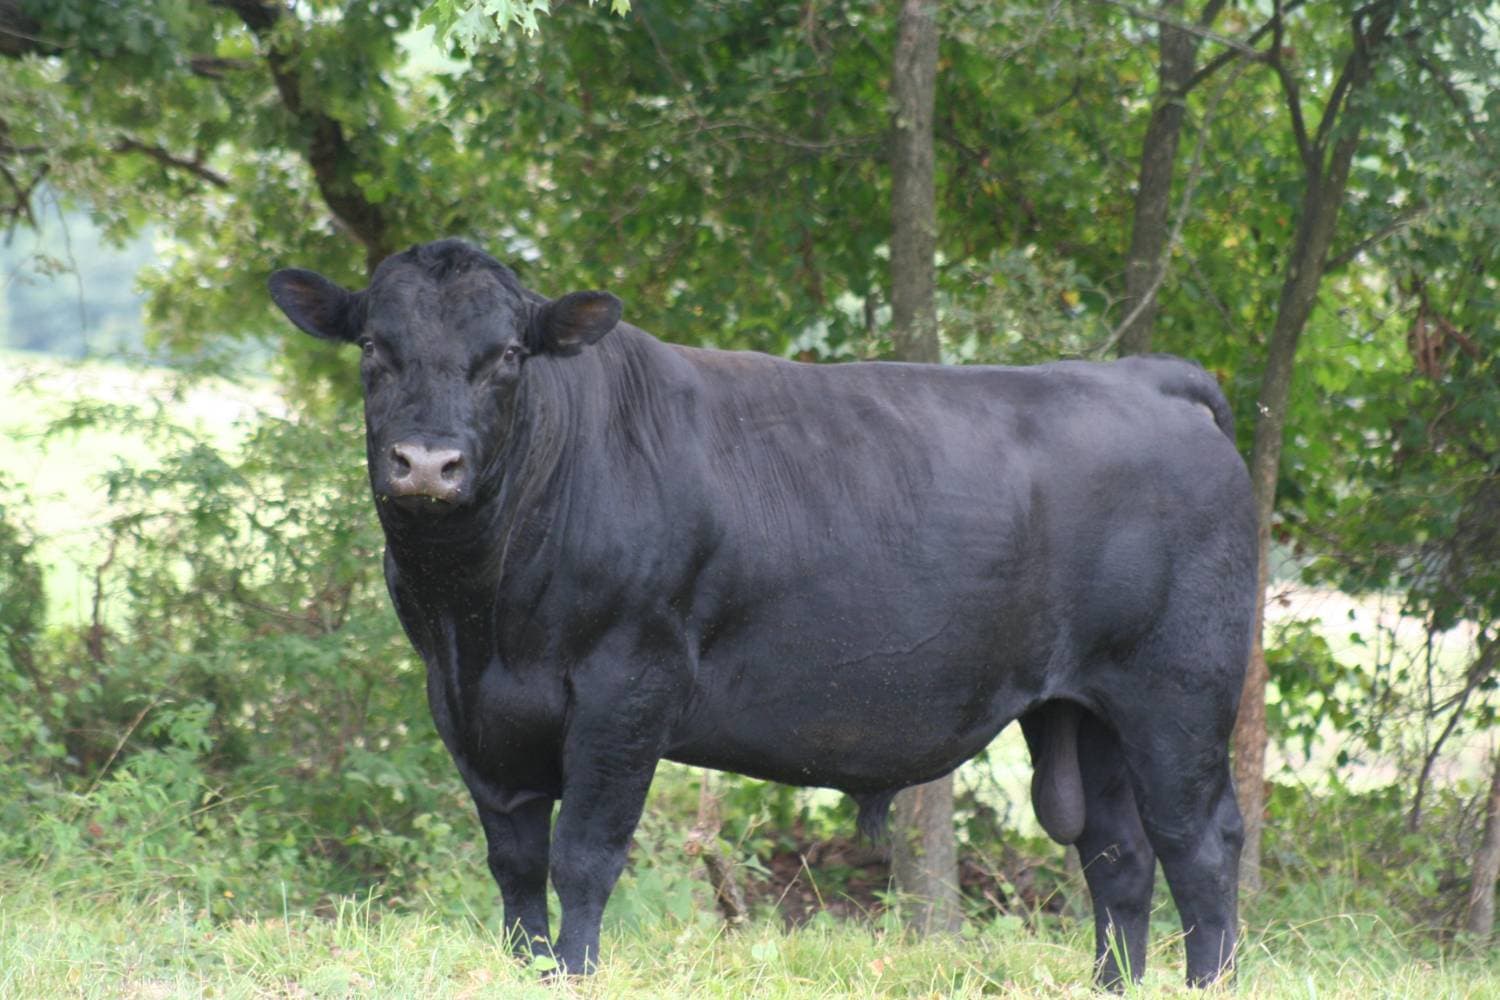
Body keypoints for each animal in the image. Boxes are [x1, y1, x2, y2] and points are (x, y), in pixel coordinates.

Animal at [268, 239, 1255, 989]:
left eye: (508, 355)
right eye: (372, 347)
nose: (426, 464)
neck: (483, 614)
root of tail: (1146, 378)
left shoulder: (628, 684)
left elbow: (583, 854)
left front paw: (577, 974)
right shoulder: (465, 707)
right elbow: (514, 865)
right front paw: (528, 971)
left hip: (1179, 693)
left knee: (1200, 846)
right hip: (1084, 710)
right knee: (1118, 856)